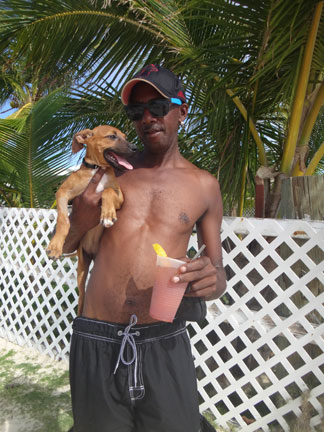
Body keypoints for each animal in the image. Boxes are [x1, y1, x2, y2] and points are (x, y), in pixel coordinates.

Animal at [46, 124, 135, 314]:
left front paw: (107, 214)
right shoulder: (63, 193)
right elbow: (64, 219)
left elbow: (107, 191)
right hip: (81, 271)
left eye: (125, 137)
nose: (135, 148)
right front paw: (55, 246)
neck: (97, 169)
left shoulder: (120, 196)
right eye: (112, 136)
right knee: (81, 299)